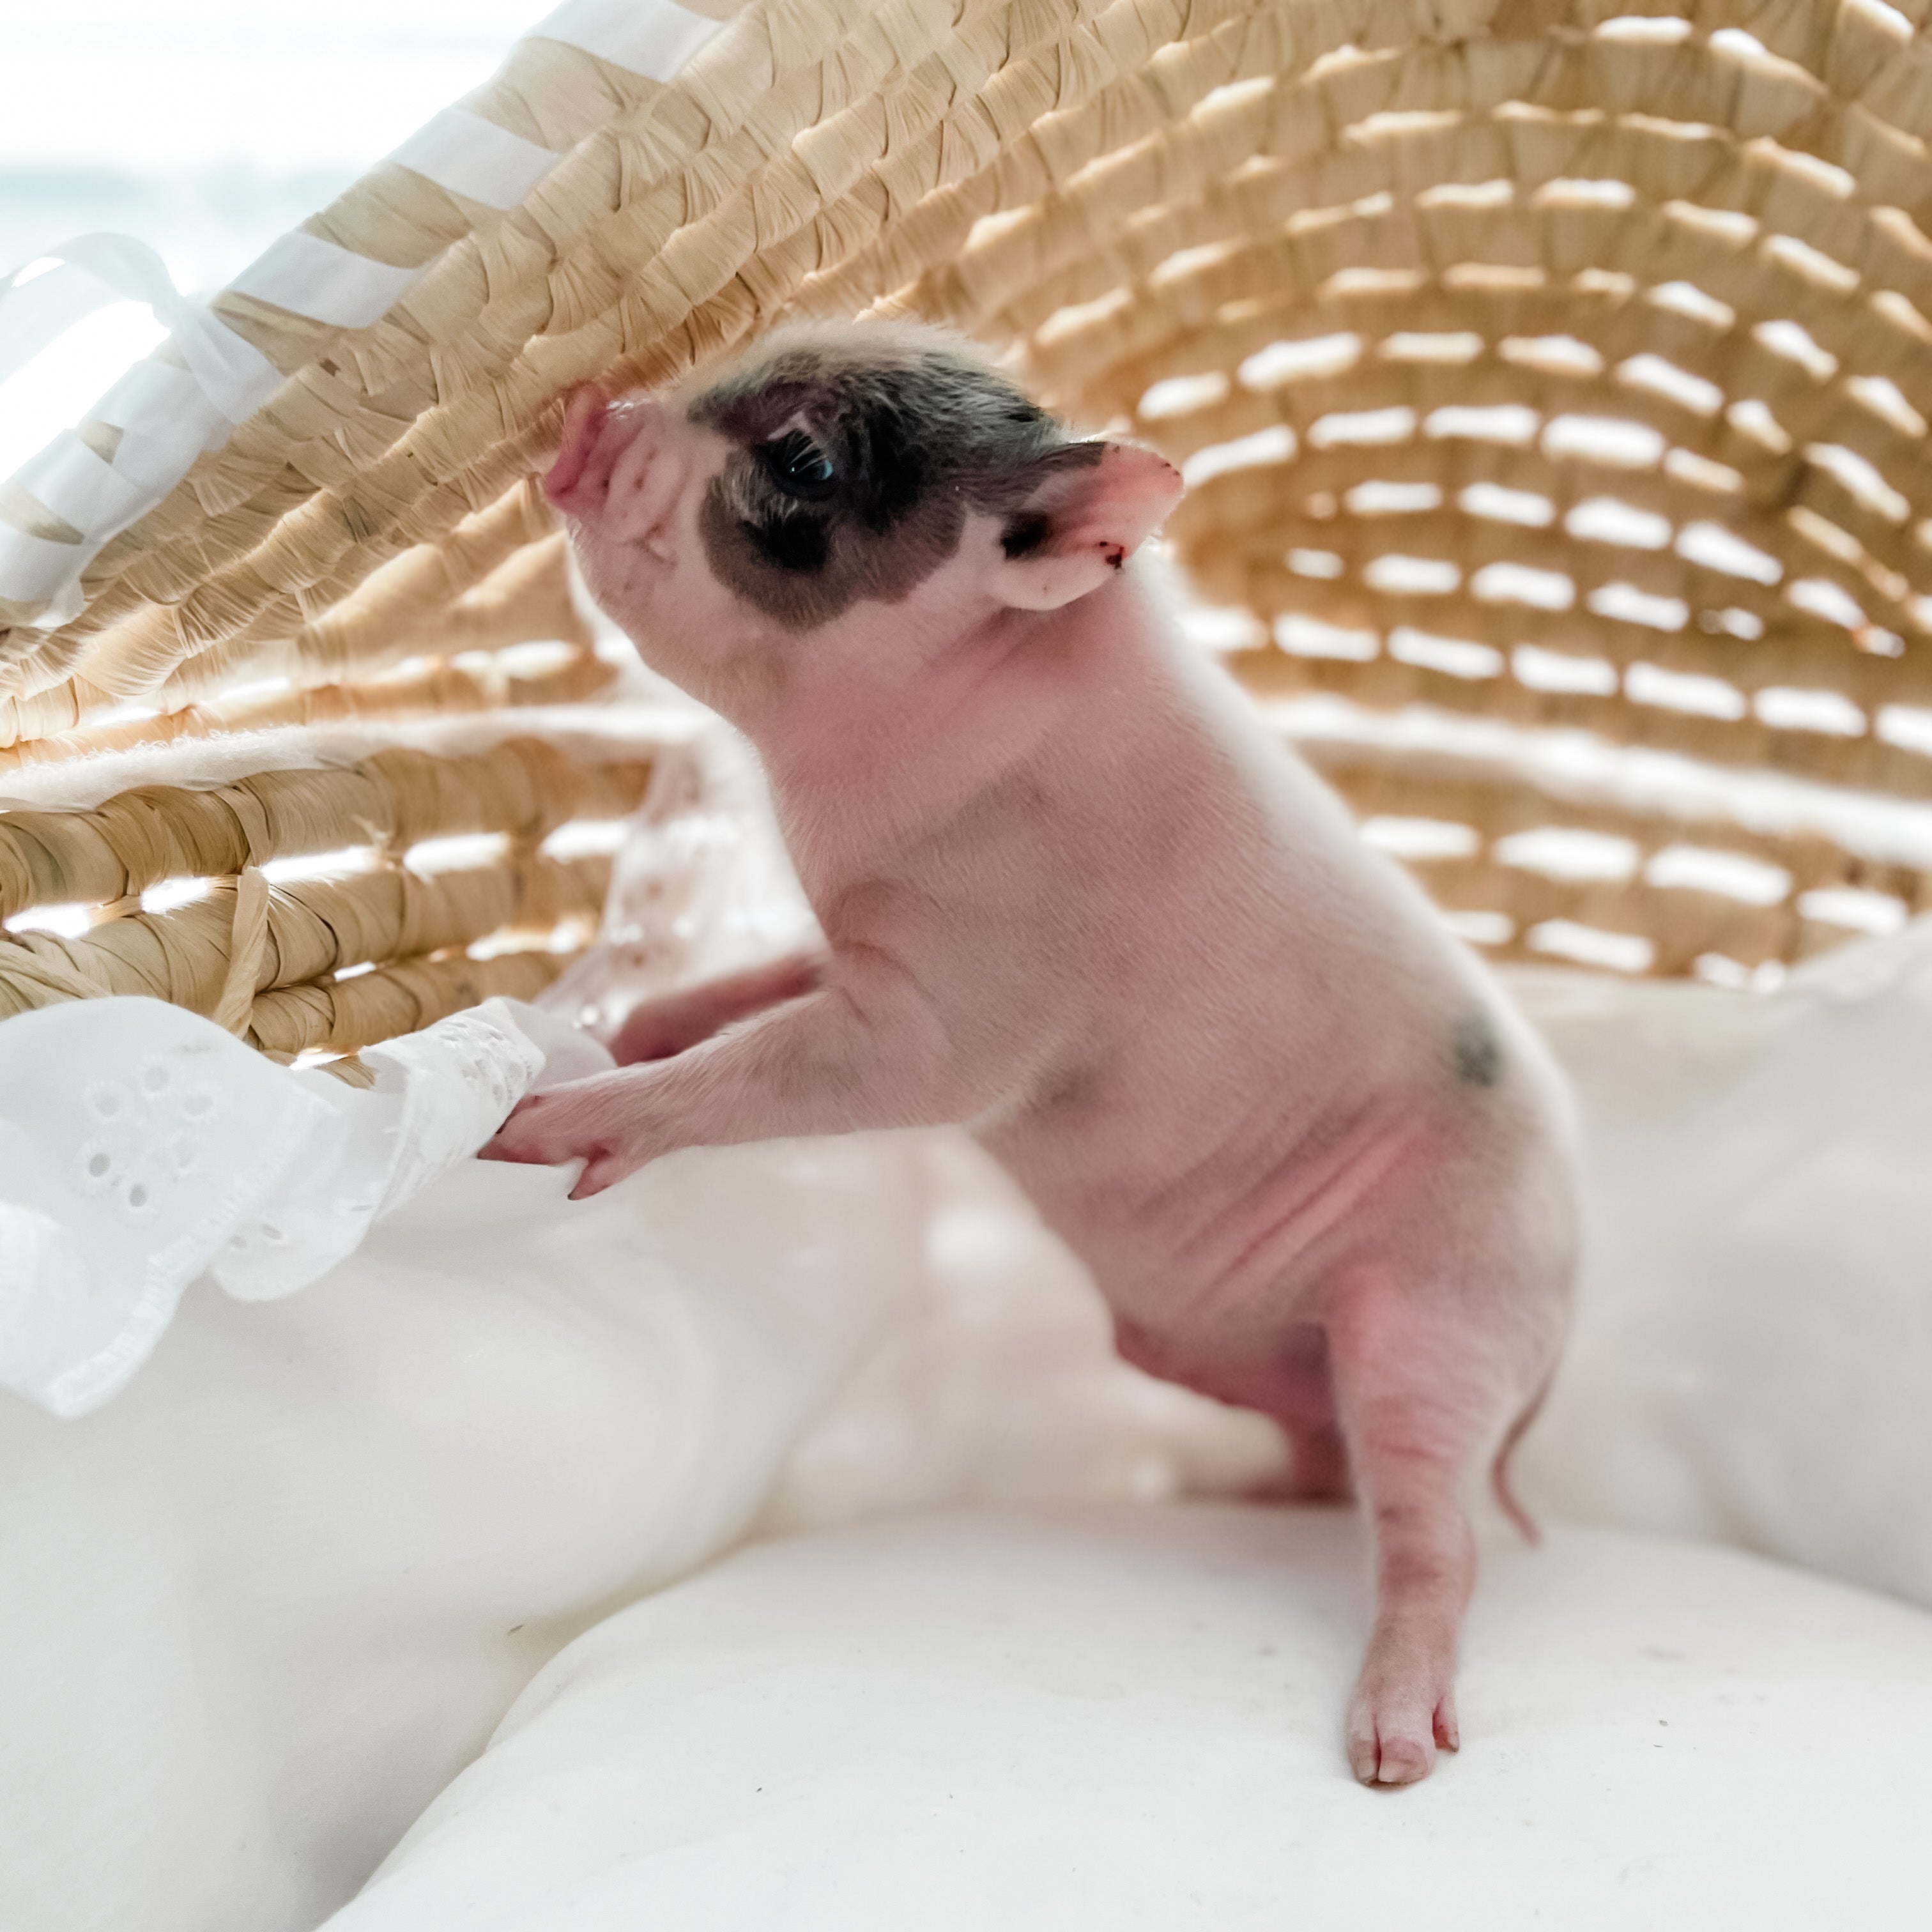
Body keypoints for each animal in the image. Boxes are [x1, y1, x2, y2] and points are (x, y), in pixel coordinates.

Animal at [483, 320, 1579, 1787]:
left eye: (805, 462)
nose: (590, 419)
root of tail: (1557, 1344)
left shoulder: (961, 1014)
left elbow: (786, 1069)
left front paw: (536, 1126)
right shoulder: (860, 949)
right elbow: (757, 991)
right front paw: (629, 1022)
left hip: (1440, 1313)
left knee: (1435, 1528)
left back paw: (1392, 1746)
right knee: (1323, 1455)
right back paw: (1232, 1494)